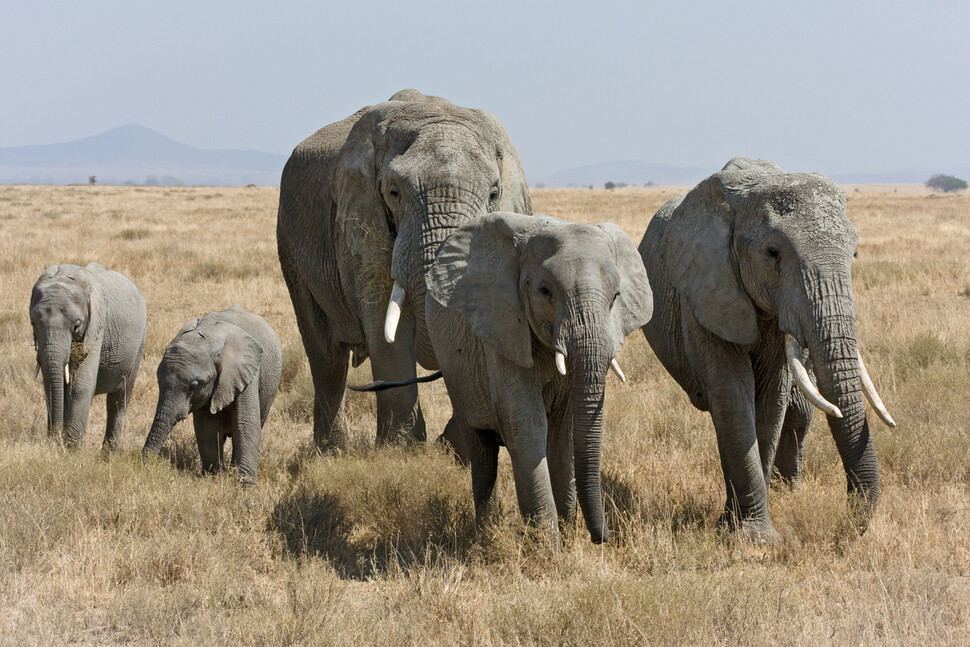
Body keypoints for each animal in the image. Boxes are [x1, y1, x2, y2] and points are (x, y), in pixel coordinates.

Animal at [28, 264, 146, 450]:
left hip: (138, 345)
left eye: (77, 324)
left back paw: (109, 454)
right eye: (33, 323)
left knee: (119, 400)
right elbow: (52, 384)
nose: (55, 440)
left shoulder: (97, 325)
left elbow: (81, 385)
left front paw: (72, 450)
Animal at [143, 306, 284, 484]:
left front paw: (246, 487)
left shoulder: (246, 373)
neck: (208, 334)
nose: (146, 465)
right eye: (158, 380)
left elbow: (246, 424)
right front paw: (213, 477)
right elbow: (207, 427)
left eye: (193, 387)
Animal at [276, 87, 528, 450]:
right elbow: (382, 318)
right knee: (326, 357)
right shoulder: (360, 218)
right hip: (290, 244)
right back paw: (332, 451)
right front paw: (402, 449)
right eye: (394, 192)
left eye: (494, 194)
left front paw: (454, 446)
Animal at [424, 214, 652, 548]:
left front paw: (567, 537)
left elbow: (562, 431)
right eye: (545, 291)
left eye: (615, 297)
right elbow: (526, 424)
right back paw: (486, 533)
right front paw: (547, 547)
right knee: (482, 452)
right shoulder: (503, 328)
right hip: (455, 372)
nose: (605, 537)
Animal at [636, 158, 892, 540]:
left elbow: (771, 400)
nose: (848, 523)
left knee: (798, 409)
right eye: (773, 253)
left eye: (855, 253)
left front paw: (743, 528)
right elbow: (733, 395)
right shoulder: (705, 291)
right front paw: (752, 538)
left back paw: (778, 493)